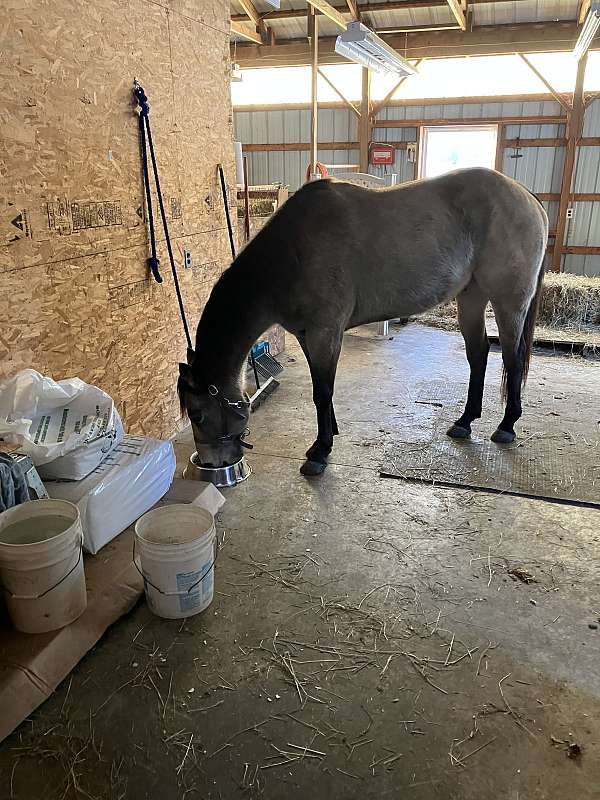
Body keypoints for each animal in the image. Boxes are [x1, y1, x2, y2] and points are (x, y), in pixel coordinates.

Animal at [176, 168, 548, 476]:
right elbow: (321, 390)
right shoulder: (307, 335)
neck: (293, 252)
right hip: (471, 297)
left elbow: (322, 391)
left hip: (508, 303)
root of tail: (528, 198)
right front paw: (327, 436)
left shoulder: (325, 333)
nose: (213, 464)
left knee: (513, 358)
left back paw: (506, 426)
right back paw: (465, 421)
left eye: (198, 414)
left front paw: (320, 452)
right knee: (479, 354)